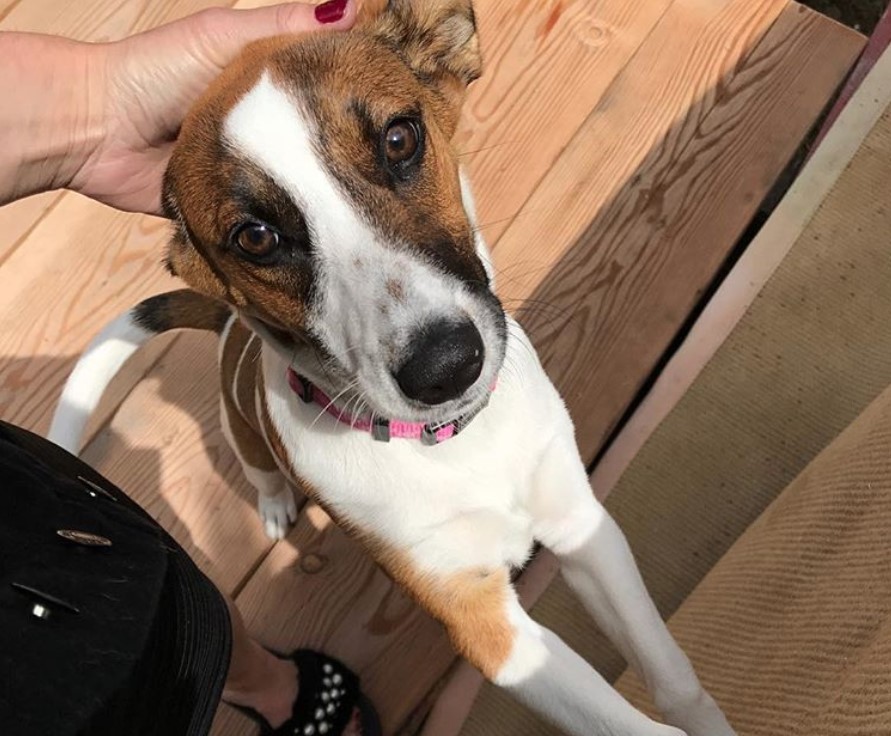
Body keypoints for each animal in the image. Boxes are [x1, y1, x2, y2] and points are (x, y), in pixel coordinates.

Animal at [45, 2, 736, 732]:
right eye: (255, 237)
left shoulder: (582, 526)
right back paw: (274, 504)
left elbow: (674, 683)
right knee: (259, 468)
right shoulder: (487, 628)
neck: (455, 447)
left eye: (400, 139)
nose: (446, 367)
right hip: (242, 432)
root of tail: (230, 324)